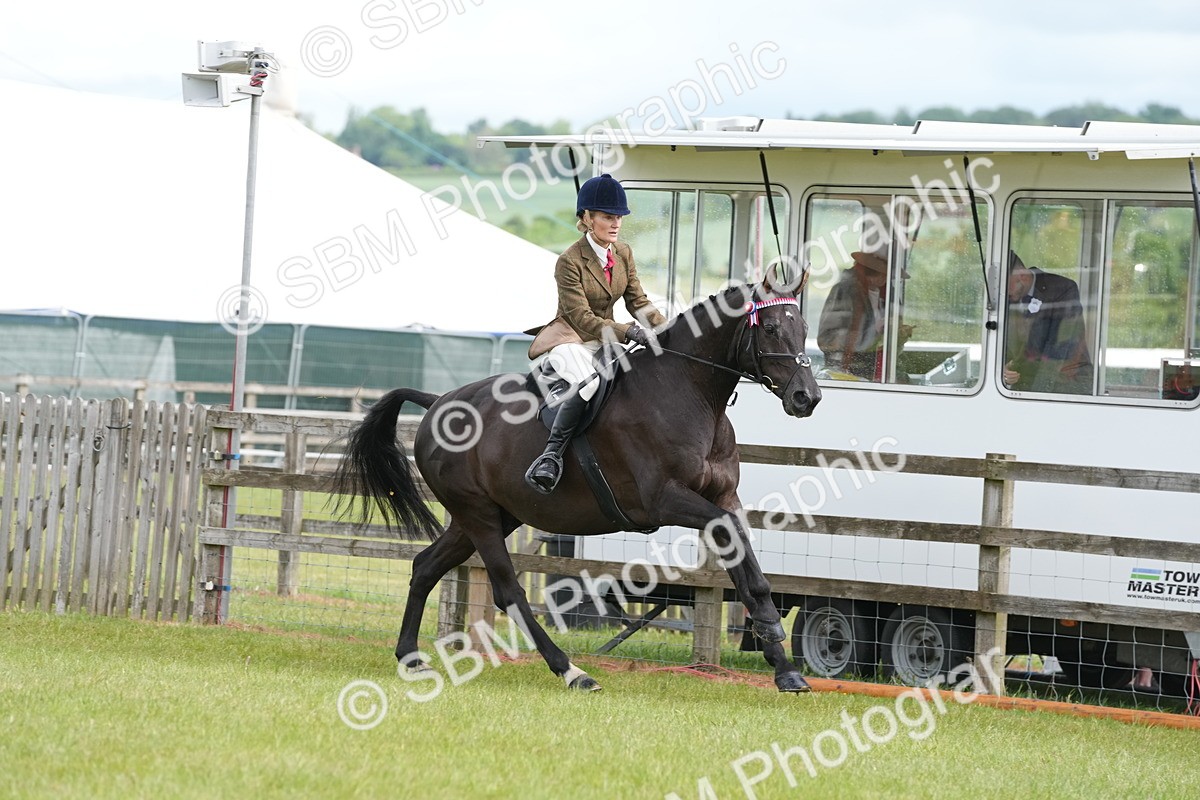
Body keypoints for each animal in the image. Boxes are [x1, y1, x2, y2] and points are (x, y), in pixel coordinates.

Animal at [332, 269, 821, 692]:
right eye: (771, 328)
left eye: (803, 327)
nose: (808, 398)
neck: (688, 392)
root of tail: (436, 402)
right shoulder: (665, 501)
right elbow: (734, 545)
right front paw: (772, 634)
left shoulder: (723, 497)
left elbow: (746, 564)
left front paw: (782, 664)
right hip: (478, 514)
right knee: (508, 590)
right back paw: (572, 671)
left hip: (492, 515)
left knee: (425, 567)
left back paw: (411, 657)